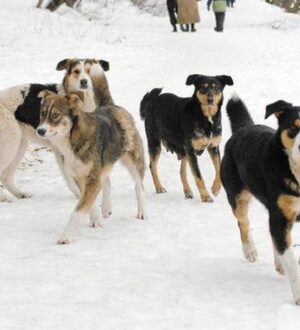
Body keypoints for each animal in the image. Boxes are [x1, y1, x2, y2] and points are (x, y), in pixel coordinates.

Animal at [36, 90, 146, 245]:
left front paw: (67, 236)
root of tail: (112, 106)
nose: (40, 130)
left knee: (139, 186)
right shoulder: (79, 177)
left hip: (133, 160)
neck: (71, 139)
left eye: (55, 115)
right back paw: (106, 208)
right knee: (107, 181)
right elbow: (88, 202)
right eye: (42, 113)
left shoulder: (92, 178)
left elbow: (78, 211)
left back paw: (142, 212)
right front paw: (96, 219)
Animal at [220, 96, 300, 306]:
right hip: (238, 196)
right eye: (294, 126)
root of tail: (243, 128)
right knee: (244, 223)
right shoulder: (281, 216)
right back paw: (250, 251)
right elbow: (292, 263)